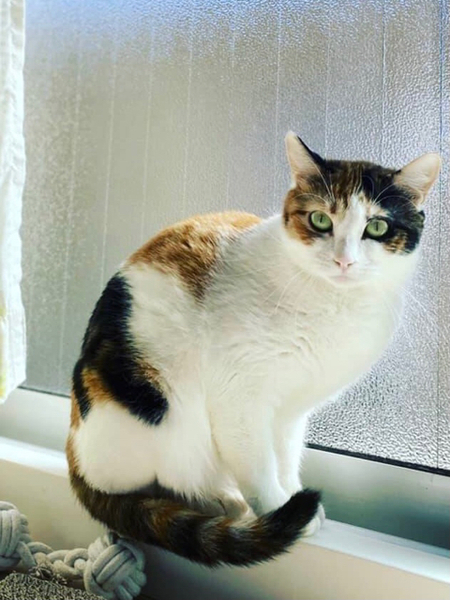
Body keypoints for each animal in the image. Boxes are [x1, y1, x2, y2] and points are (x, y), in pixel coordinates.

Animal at [66, 132, 440, 567]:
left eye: (377, 226)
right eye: (320, 220)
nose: (343, 261)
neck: (333, 303)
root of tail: (74, 446)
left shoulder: (291, 411)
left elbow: (287, 455)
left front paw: (292, 494)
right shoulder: (240, 397)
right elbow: (259, 465)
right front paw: (279, 507)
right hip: (158, 409)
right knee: (154, 480)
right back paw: (217, 500)